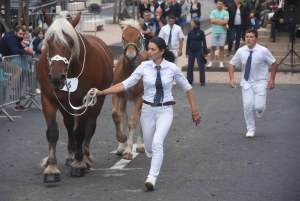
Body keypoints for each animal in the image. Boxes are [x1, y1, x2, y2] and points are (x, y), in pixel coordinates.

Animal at [36, 11, 113, 183]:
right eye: (49, 42)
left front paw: (78, 164)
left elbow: (80, 132)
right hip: (65, 104)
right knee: (70, 124)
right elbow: (52, 132)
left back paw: (84, 157)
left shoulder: (86, 101)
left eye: (70, 42)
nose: (56, 78)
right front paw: (51, 169)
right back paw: (71, 154)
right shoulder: (48, 99)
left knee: (89, 126)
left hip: (97, 100)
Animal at [111, 19, 149, 160]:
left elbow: (133, 121)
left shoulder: (140, 97)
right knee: (124, 116)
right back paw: (121, 147)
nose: (131, 57)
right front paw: (122, 139)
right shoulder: (117, 93)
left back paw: (140, 145)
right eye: (123, 37)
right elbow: (117, 115)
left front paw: (128, 151)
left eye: (138, 37)